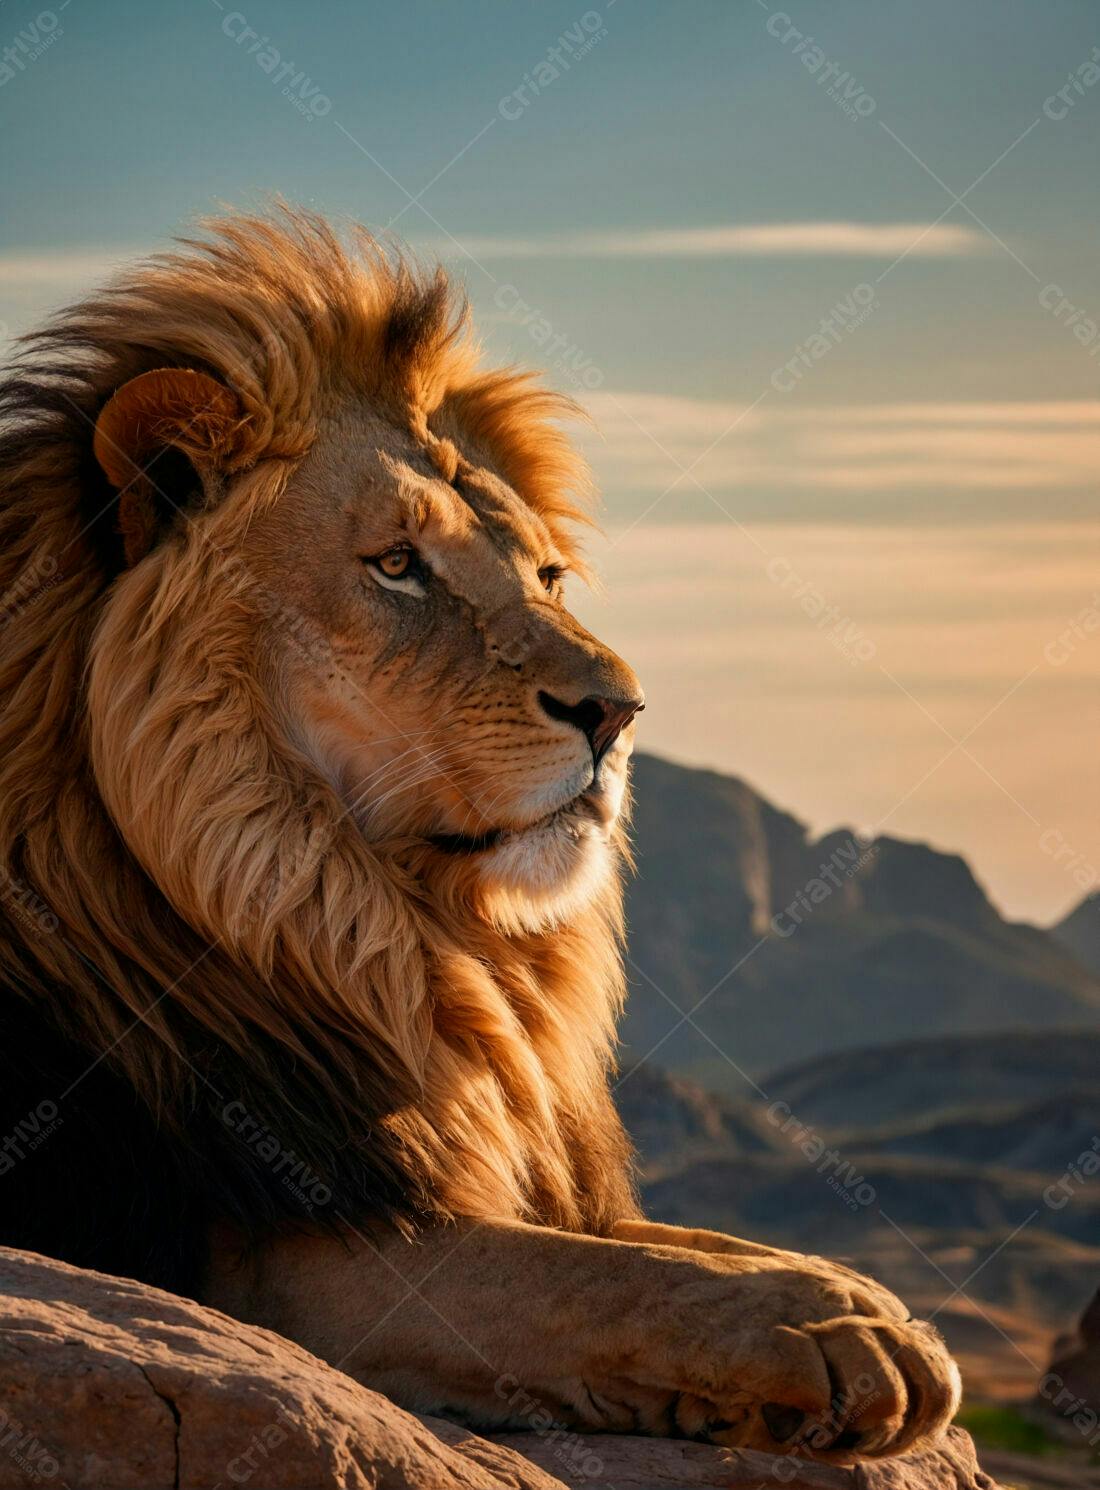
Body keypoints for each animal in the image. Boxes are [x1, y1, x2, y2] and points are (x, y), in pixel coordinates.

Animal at [0, 208, 959, 1459]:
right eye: (397, 565)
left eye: (546, 573)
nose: (617, 709)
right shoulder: (284, 1259)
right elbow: (594, 1279)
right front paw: (827, 1333)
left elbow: (668, 1241)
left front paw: (867, 1301)